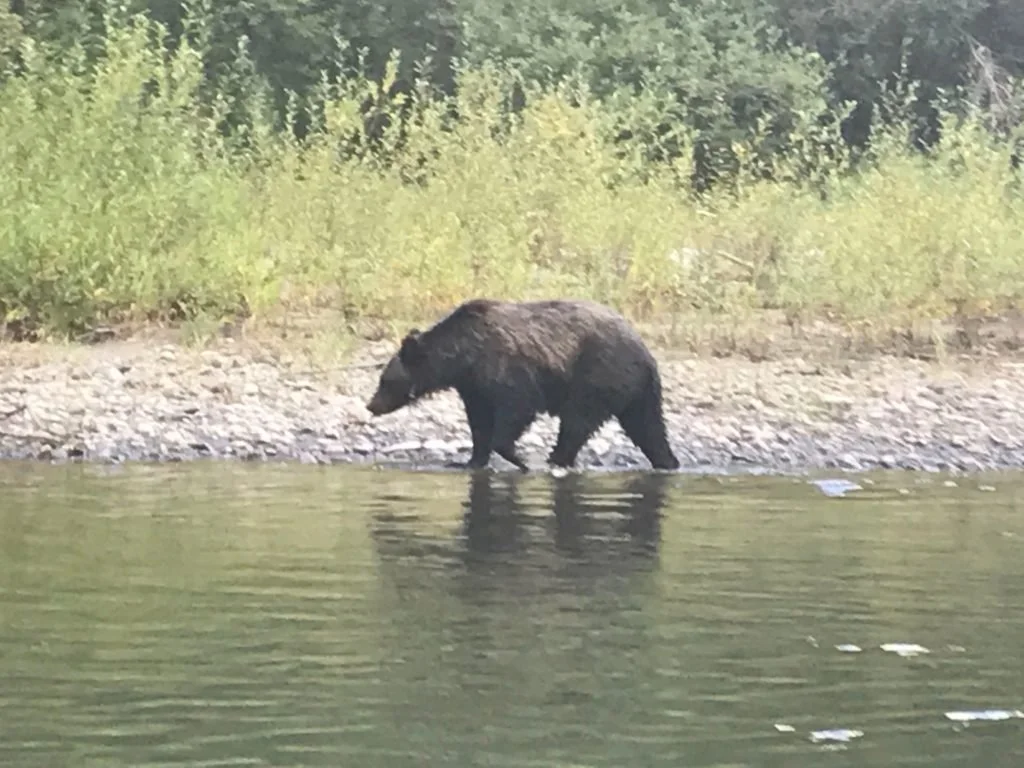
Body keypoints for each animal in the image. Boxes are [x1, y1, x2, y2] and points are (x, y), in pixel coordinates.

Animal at [365, 298, 680, 472]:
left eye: (384, 380)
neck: (464, 355)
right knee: (648, 426)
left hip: (598, 377)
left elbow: (516, 409)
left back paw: (554, 459)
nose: (370, 405)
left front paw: (519, 457)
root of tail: (646, 353)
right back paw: (667, 461)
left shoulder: (506, 369)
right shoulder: (474, 386)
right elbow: (479, 421)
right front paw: (471, 460)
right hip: (636, 391)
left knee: (577, 422)